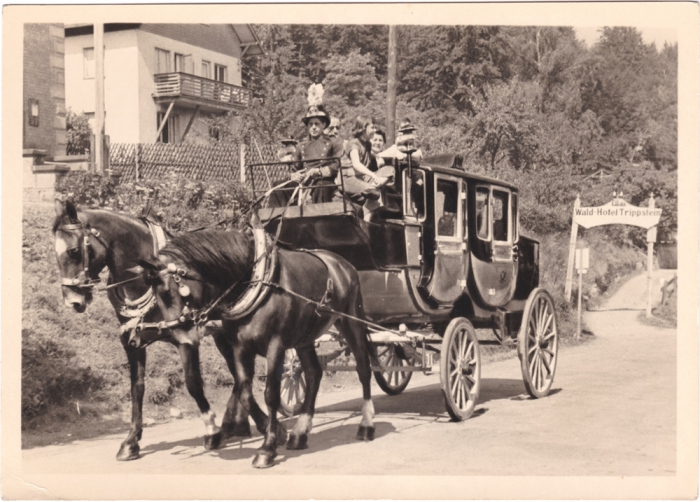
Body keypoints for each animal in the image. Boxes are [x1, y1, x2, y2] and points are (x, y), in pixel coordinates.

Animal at [52, 202, 268, 460]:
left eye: (74, 250)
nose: (72, 302)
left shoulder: (187, 338)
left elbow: (193, 383)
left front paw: (211, 430)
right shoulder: (130, 341)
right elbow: (137, 388)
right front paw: (131, 441)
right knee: (239, 375)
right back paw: (238, 425)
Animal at [138, 226, 378, 468]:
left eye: (167, 293)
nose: (181, 338)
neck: (255, 283)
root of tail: (343, 264)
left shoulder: (276, 345)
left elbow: (270, 394)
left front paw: (267, 448)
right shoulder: (240, 347)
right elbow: (245, 391)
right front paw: (272, 432)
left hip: (351, 321)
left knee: (363, 368)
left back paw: (366, 425)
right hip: (304, 338)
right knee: (313, 373)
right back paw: (300, 433)